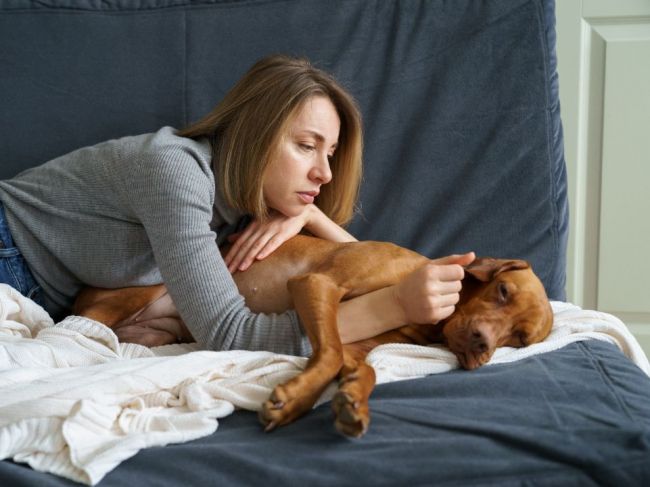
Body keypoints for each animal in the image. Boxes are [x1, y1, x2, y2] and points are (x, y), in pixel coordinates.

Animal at [74, 235, 552, 438]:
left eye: (519, 339)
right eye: (503, 291)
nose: (482, 345)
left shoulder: (359, 346)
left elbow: (361, 369)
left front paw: (352, 401)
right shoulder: (317, 285)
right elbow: (329, 353)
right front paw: (293, 401)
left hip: (159, 330)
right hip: (133, 292)